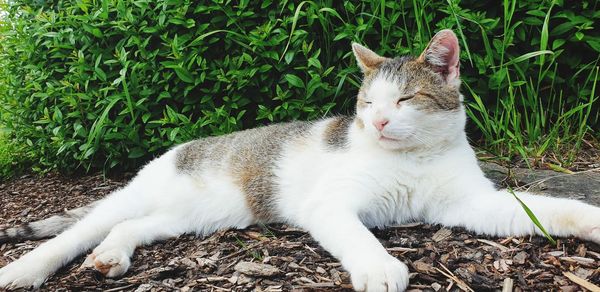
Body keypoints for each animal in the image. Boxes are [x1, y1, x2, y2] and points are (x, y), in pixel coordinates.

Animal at [1, 29, 600, 290]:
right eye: (368, 104)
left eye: (405, 100)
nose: (377, 123)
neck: (412, 159)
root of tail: (176, 151)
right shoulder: (330, 206)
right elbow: (358, 234)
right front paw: (380, 266)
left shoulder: (470, 205)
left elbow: (542, 208)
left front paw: (589, 219)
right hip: (139, 196)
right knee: (75, 233)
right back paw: (24, 270)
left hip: (193, 216)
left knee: (131, 227)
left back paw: (111, 256)